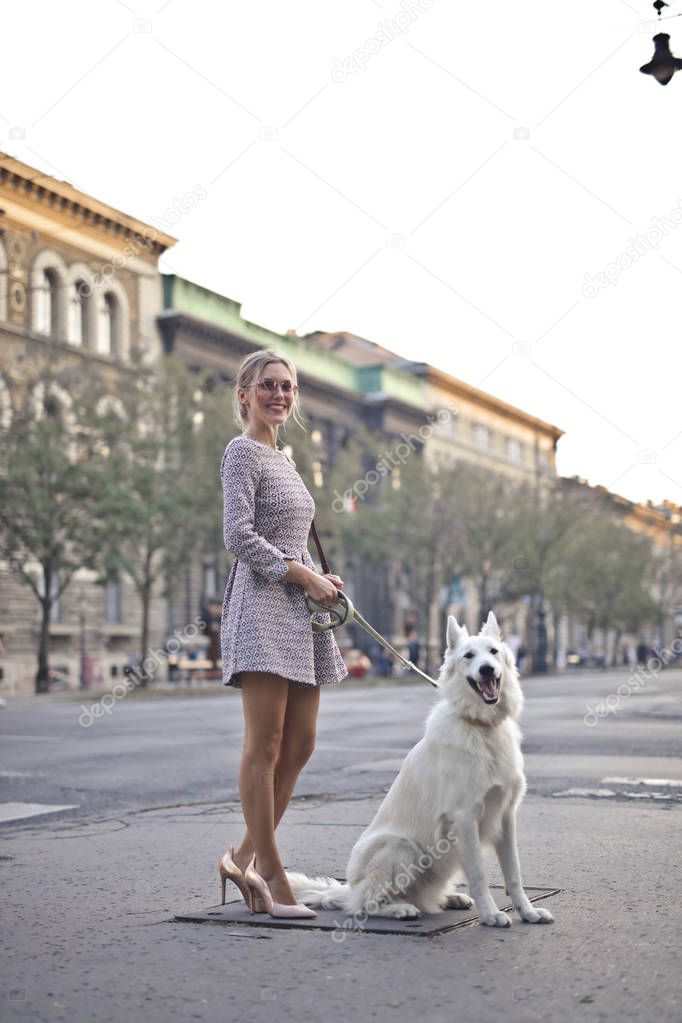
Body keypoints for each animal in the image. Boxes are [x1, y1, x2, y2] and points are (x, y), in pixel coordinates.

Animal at [288, 609, 556, 932]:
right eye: (468, 656)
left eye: (493, 652)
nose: (487, 670)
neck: (480, 727)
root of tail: (349, 887)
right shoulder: (464, 818)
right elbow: (479, 874)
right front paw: (491, 914)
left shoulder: (505, 816)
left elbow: (514, 874)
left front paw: (528, 912)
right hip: (402, 848)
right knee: (363, 904)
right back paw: (399, 909)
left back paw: (450, 898)